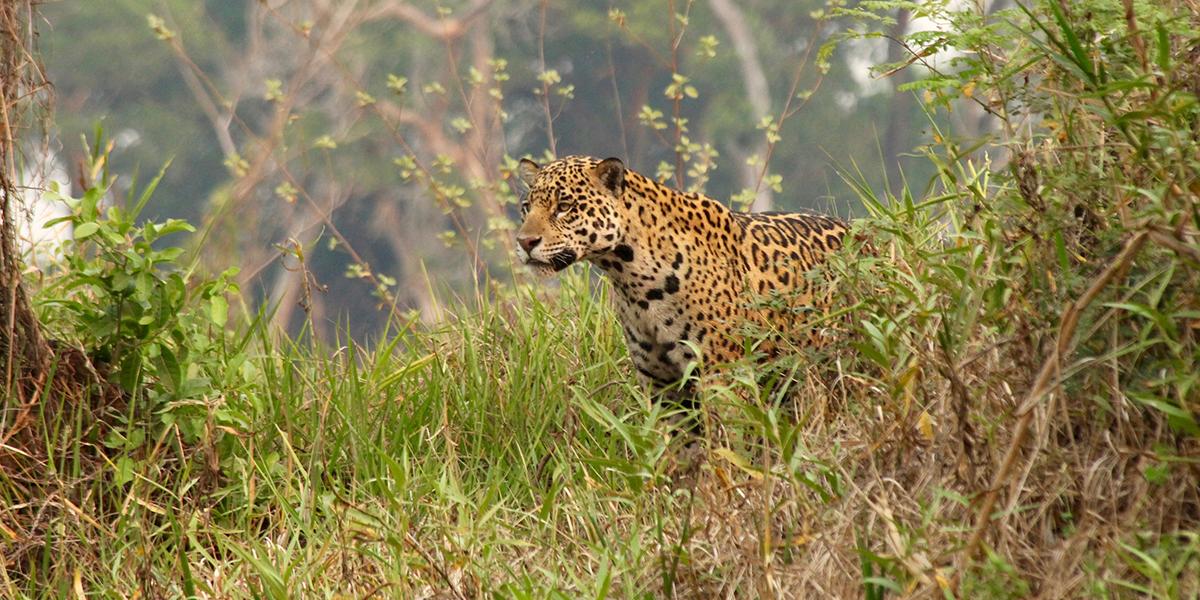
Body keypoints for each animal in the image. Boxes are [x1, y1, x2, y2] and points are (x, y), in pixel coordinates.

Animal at [515, 155, 848, 402]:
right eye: (526, 207)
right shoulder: (660, 382)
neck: (631, 278)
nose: (525, 242)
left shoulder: (722, 374)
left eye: (564, 207)